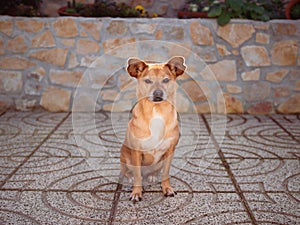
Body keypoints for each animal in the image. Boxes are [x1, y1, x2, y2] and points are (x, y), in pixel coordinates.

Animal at [119, 56, 185, 202]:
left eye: (165, 80)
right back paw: (129, 177)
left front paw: (167, 189)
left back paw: (153, 175)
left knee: (155, 171)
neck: (156, 112)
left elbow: (165, 174)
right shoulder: (136, 151)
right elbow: (137, 175)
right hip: (124, 155)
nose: (158, 93)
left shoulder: (170, 150)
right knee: (127, 171)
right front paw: (136, 192)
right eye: (148, 81)